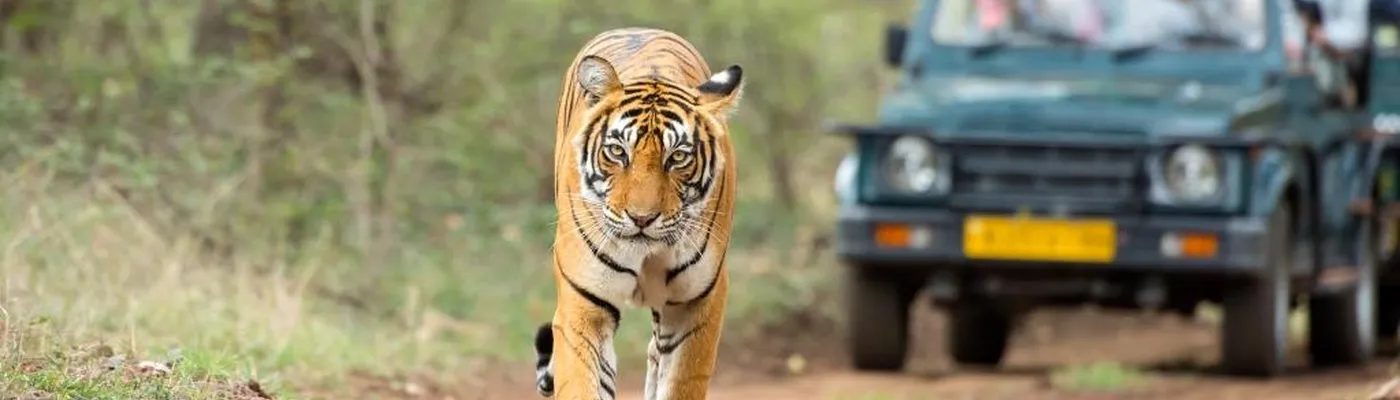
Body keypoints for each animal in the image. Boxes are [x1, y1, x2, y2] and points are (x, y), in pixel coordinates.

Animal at [532, 27, 743, 400]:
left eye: (678, 157)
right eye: (618, 152)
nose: (641, 219)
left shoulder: (696, 305)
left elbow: (681, 382)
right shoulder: (584, 305)